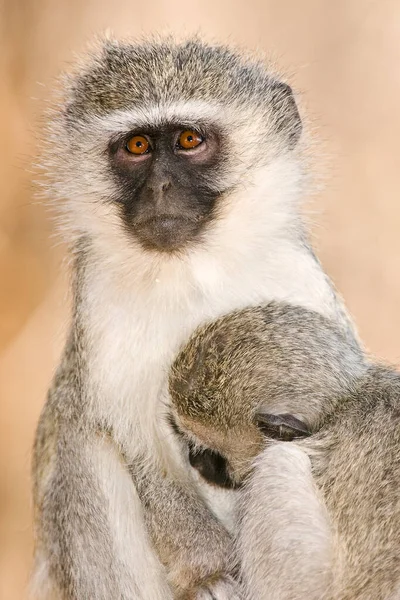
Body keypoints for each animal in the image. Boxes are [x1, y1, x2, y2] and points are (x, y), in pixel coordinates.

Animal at [29, 37, 358, 600]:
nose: (161, 188)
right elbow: (127, 436)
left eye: (189, 140)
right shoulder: (99, 304)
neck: (192, 269)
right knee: (82, 438)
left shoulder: (297, 277)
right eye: (137, 146)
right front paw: (208, 572)